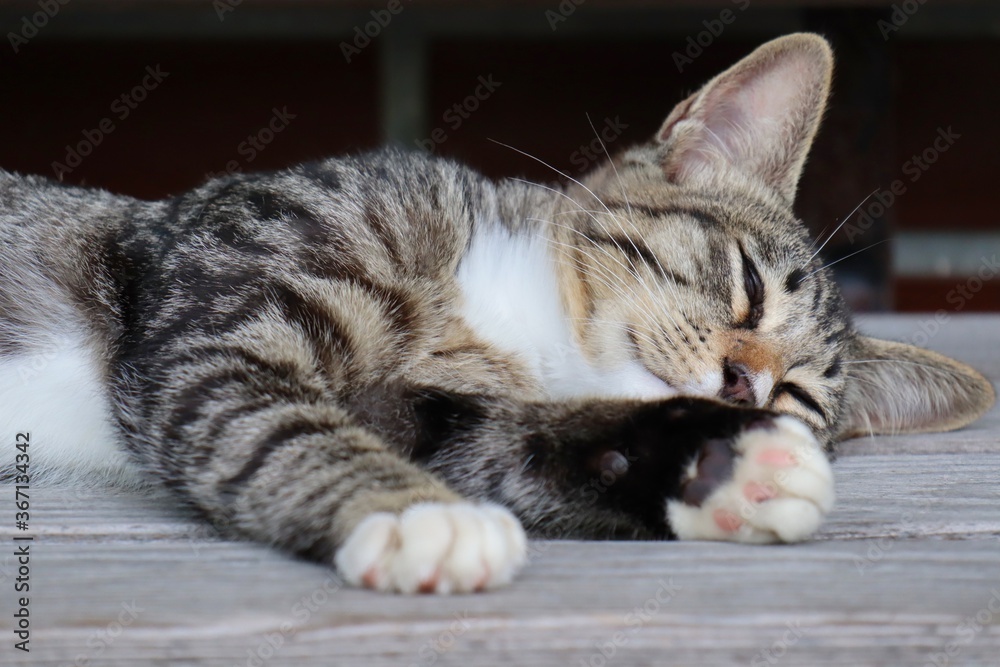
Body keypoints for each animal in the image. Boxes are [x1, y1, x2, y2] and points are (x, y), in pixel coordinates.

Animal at [0, 34, 992, 596]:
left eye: (799, 400)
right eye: (747, 285)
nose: (745, 385)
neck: (506, 315)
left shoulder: (425, 409)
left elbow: (507, 441)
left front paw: (716, 465)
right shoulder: (212, 310)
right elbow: (281, 427)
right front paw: (407, 510)